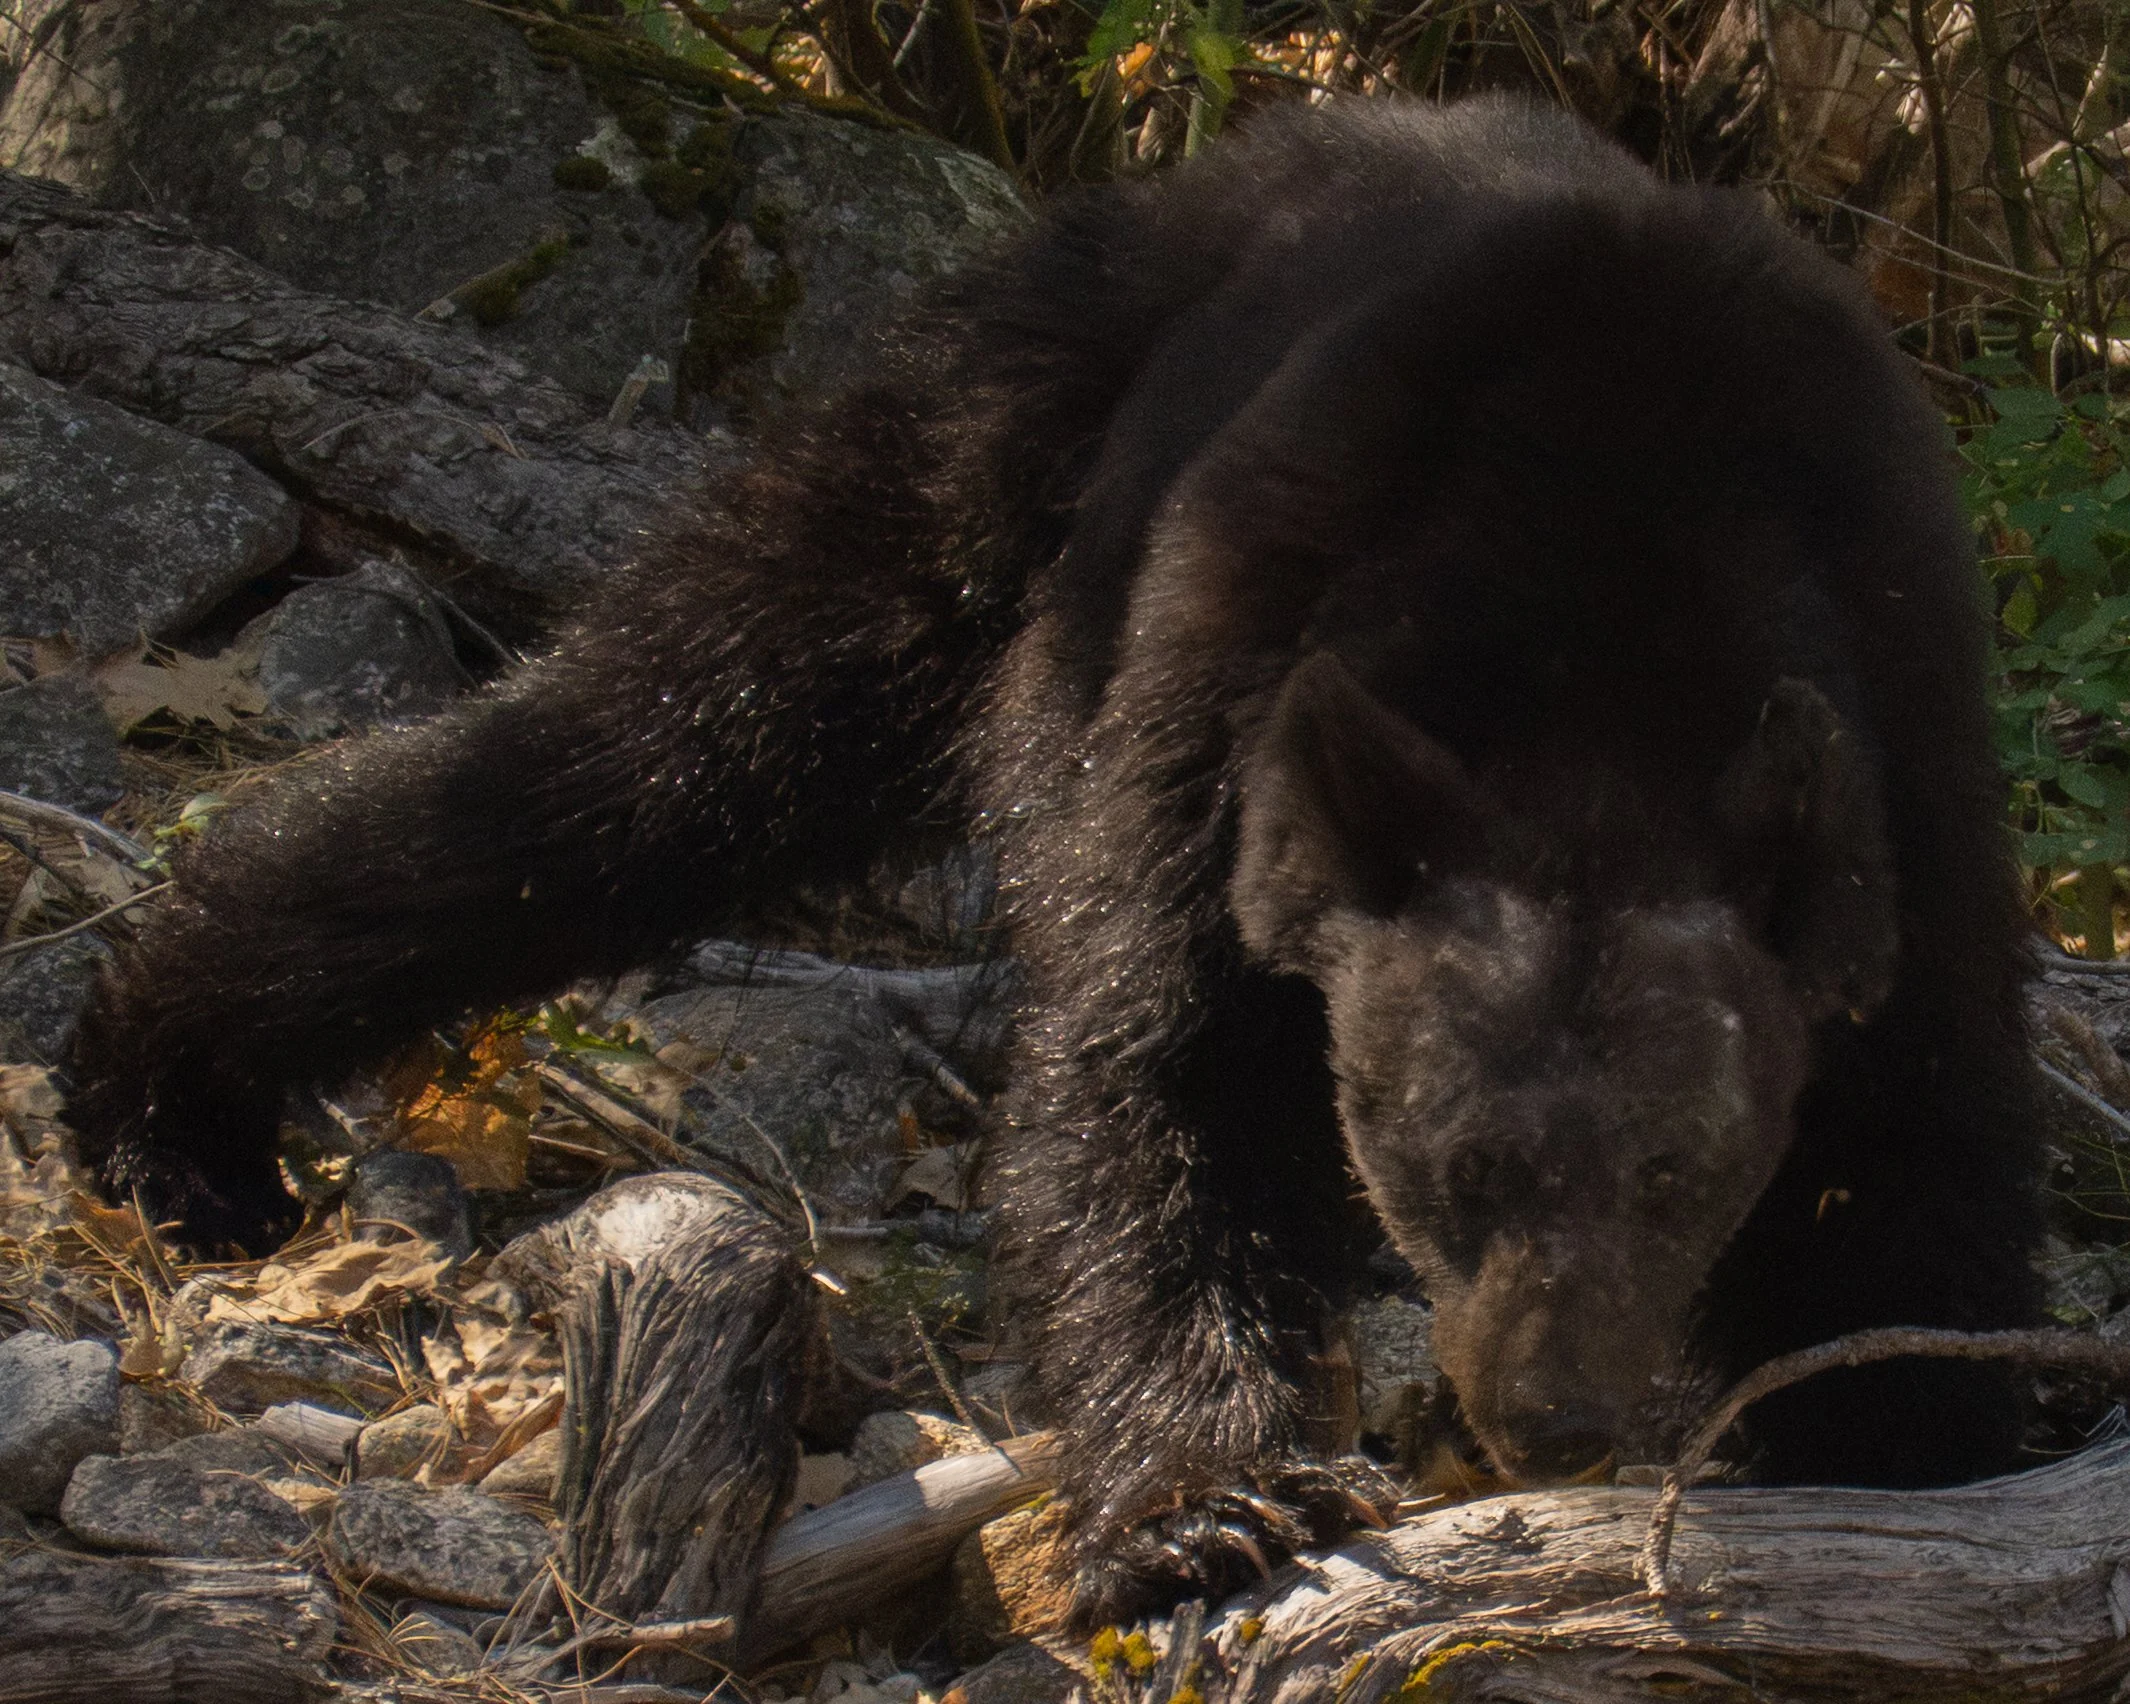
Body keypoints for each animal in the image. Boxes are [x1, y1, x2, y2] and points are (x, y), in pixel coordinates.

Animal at [69, 93, 2043, 1625]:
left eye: (1680, 1165)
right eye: (1443, 1155)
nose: (1547, 1415)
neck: (1600, 638)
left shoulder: (1911, 748)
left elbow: (1918, 1144)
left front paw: (1894, 1460)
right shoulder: (1220, 669)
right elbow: (1150, 1065)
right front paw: (1205, 1504)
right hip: (990, 439)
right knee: (649, 736)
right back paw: (164, 1086)